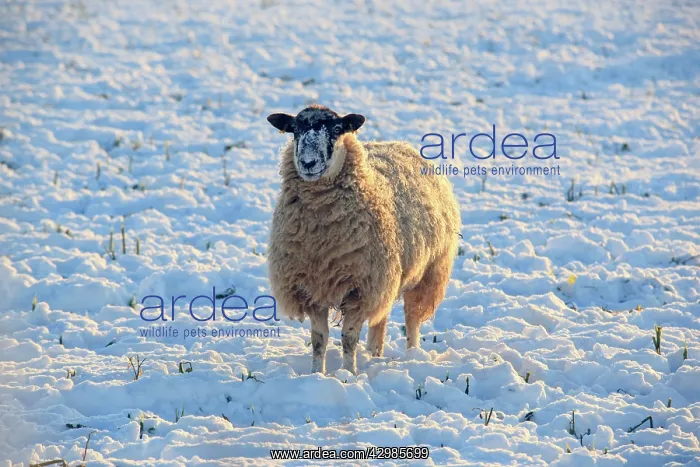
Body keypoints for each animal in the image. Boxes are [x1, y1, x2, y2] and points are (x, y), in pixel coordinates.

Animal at [266, 104, 460, 374]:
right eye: (294, 130)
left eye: (337, 129)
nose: (308, 162)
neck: (322, 240)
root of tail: (396, 143)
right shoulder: (312, 287)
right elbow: (319, 339)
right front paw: (317, 373)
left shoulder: (361, 288)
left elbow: (348, 338)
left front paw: (349, 373)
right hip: (387, 276)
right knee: (381, 318)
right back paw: (374, 353)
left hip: (428, 272)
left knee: (412, 318)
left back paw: (412, 355)